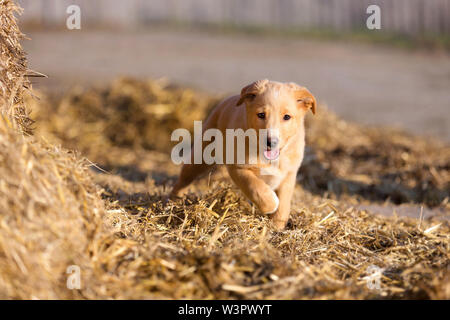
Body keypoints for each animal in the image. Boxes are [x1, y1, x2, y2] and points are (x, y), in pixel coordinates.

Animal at [170, 80, 316, 230]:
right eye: (261, 115)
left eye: (287, 117)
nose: (271, 142)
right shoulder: (238, 168)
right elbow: (256, 188)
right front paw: (271, 204)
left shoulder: (288, 175)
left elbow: (283, 205)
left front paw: (277, 226)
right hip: (201, 156)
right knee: (185, 177)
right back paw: (174, 200)